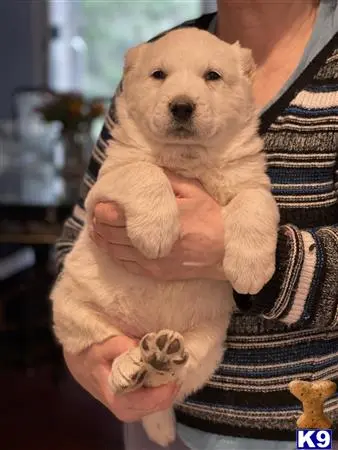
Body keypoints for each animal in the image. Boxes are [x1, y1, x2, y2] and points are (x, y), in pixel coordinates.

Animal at [50, 27, 280, 446]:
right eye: (158, 74)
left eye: (213, 76)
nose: (182, 106)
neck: (187, 158)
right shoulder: (104, 186)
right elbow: (146, 172)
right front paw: (156, 232)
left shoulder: (250, 180)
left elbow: (256, 204)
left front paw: (251, 268)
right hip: (73, 312)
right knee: (110, 348)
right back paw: (130, 366)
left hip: (209, 342)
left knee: (172, 379)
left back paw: (161, 354)